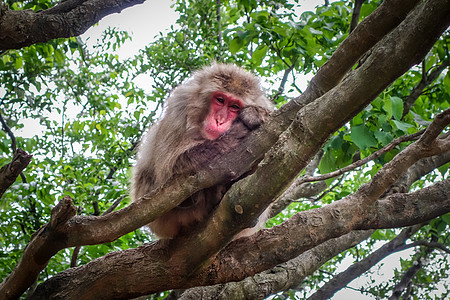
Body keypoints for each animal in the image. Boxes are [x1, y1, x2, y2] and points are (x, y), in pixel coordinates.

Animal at [130, 63, 270, 239]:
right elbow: (170, 170)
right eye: (220, 100)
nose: (219, 120)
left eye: (234, 106)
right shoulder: (179, 107)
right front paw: (234, 134)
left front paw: (255, 113)